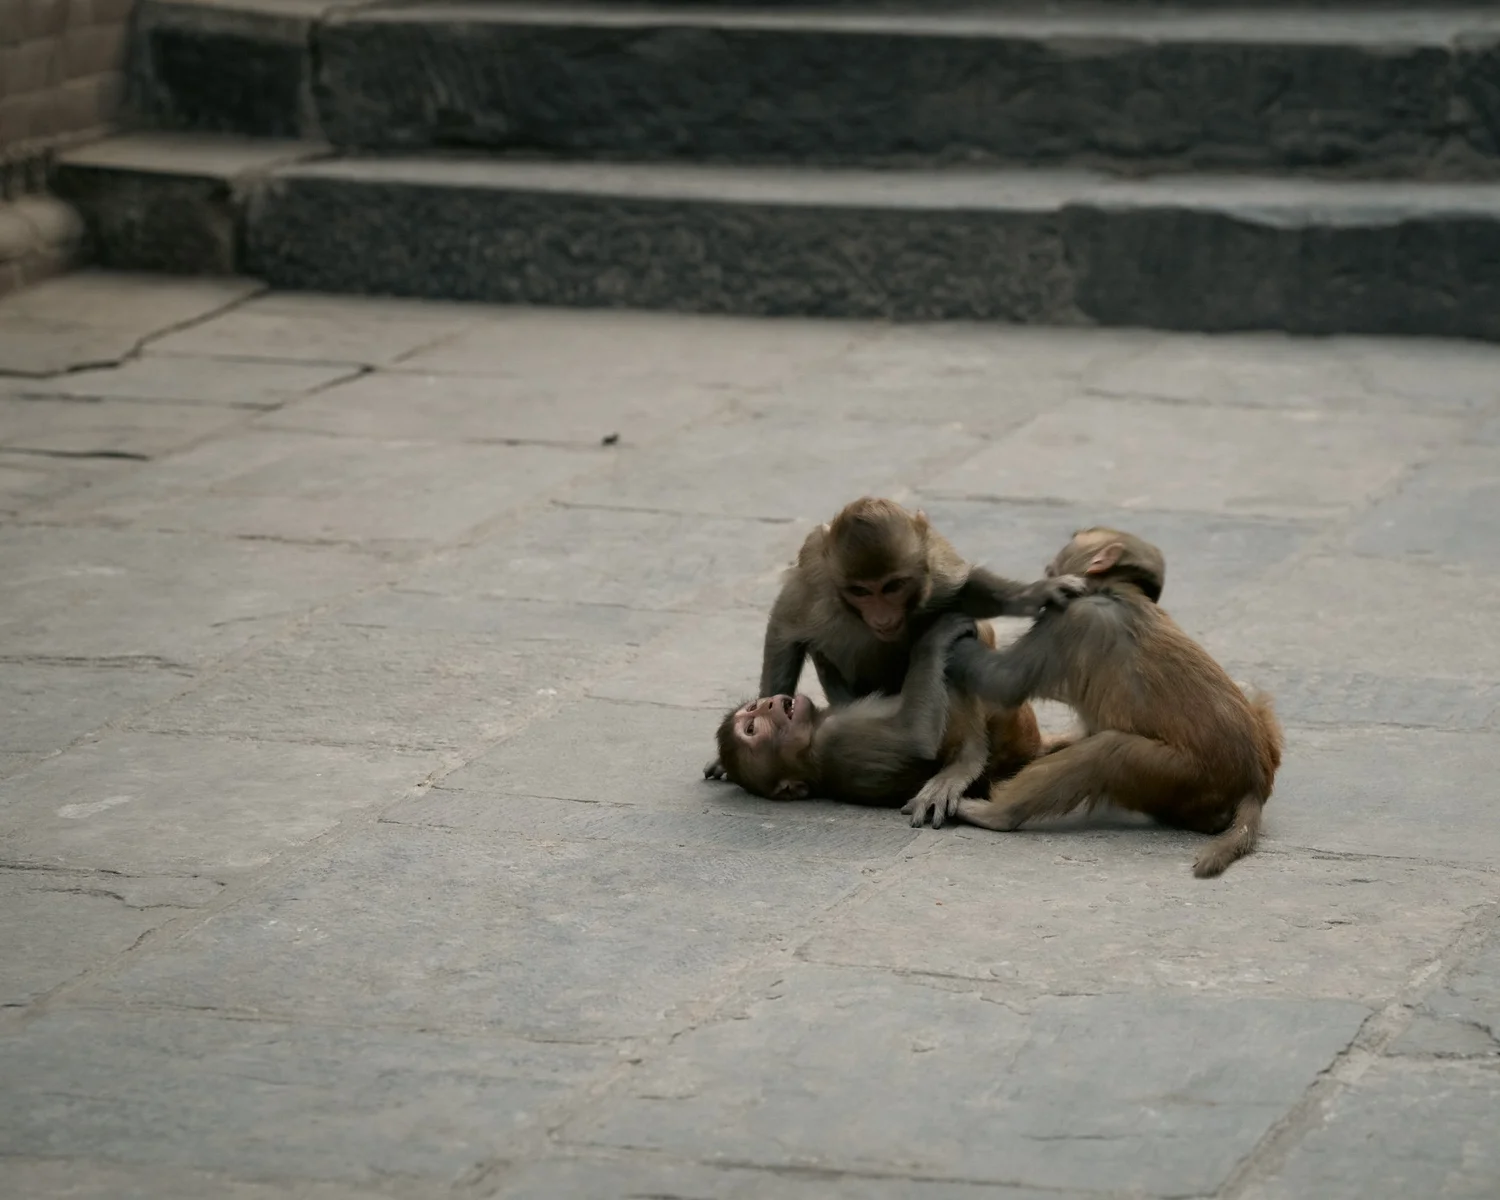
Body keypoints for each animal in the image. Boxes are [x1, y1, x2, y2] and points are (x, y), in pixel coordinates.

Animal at [704, 496, 1081, 781]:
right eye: (860, 591)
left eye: (892, 586)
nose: (882, 617)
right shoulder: (814, 579)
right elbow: (786, 631)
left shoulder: (934, 564)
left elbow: (963, 591)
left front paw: (1033, 593)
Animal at [715, 614, 1042, 818]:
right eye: (752, 728)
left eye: (752, 711)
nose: (769, 704)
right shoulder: (838, 735)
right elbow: (915, 735)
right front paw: (934, 639)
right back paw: (966, 760)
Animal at [942, 527, 1284, 878]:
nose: (1050, 566)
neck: (1113, 587)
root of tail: (1256, 782)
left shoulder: (1073, 617)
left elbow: (1003, 681)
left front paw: (950, 638)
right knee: (1246, 688)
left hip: (1186, 777)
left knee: (1108, 752)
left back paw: (997, 815)